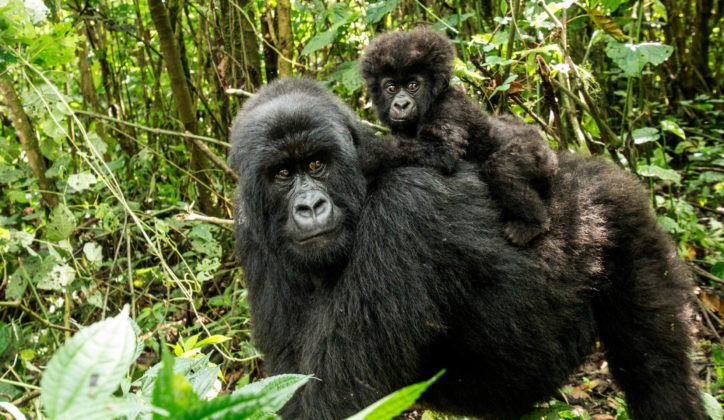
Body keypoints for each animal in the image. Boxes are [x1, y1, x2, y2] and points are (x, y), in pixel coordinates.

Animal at [228, 77, 700, 418]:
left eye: (317, 165)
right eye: (283, 174)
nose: (310, 206)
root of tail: (592, 170)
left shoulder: (404, 213)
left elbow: (333, 400)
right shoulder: (251, 233)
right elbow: (291, 383)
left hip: (626, 225)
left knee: (656, 372)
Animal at [362, 27, 560, 246]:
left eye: (413, 85)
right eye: (391, 88)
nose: (401, 104)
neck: (433, 99)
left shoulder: (449, 107)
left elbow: (443, 151)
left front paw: (368, 151)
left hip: (540, 154)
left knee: (502, 167)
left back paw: (533, 224)